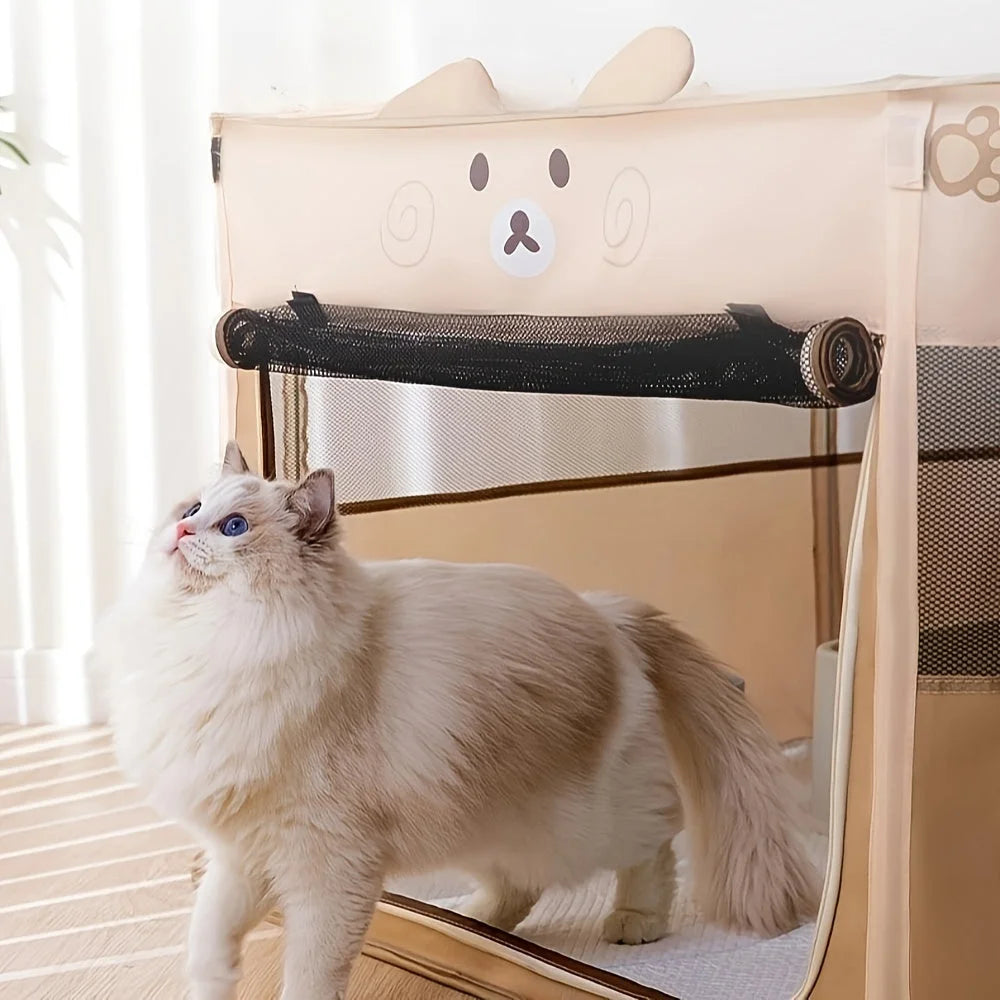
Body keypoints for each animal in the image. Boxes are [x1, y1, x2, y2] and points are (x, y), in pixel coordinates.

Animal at [90, 444, 816, 1000]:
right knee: (521, 885)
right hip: (483, 816)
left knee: (656, 842)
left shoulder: (325, 864)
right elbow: (209, 942)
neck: (210, 642)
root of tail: (608, 614)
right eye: (192, 510)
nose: (182, 533)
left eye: (234, 527)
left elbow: (310, 972)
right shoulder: (241, 850)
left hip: (581, 823)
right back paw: (477, 924)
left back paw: (634, 921)